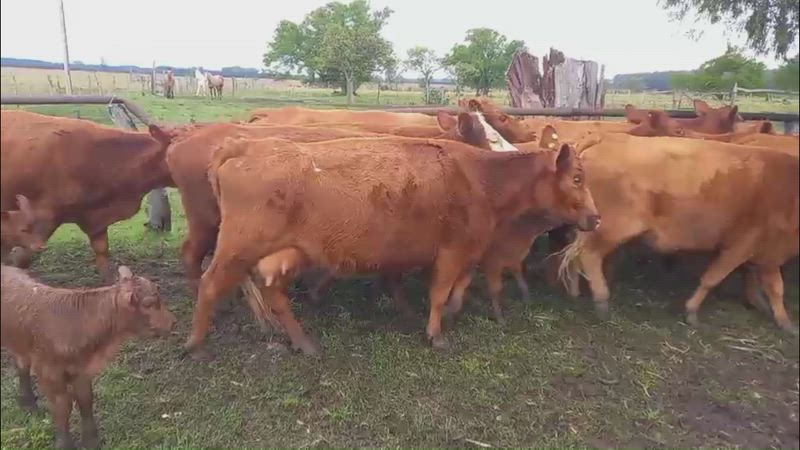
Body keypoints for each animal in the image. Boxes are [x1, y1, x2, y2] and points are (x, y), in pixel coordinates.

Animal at [1, 265, 177, 449]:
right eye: (148, 304)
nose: (173, 322)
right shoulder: (50, 373)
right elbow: (62, 406)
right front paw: (65, 444)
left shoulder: (82, 370)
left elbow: (85, 400)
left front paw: (91, 441)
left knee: (22, 365)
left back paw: (28, 404)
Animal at [183, 134, 598, 357]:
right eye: (577, 178)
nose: (596, 218)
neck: (481, 177)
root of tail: (245, 146)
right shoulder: (453, 251)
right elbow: (439, 292)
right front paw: (436, 334)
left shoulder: (466, 251)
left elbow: (456, 286)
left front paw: (448, 312)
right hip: (236, 249)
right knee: (209, 284)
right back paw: (195, 344)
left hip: (284, 255)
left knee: (274, 294)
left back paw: (304, 343)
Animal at [557, 133, 799, 333]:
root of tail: (605, 137)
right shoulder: (740, 245)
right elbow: (712, 278)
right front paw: (691, 311)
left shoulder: (768, 252)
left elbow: (774, 287)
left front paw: (782, 319)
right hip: (611, 229)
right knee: (588, 256)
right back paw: (601, 301)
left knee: (574, 254)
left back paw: (574, 292)